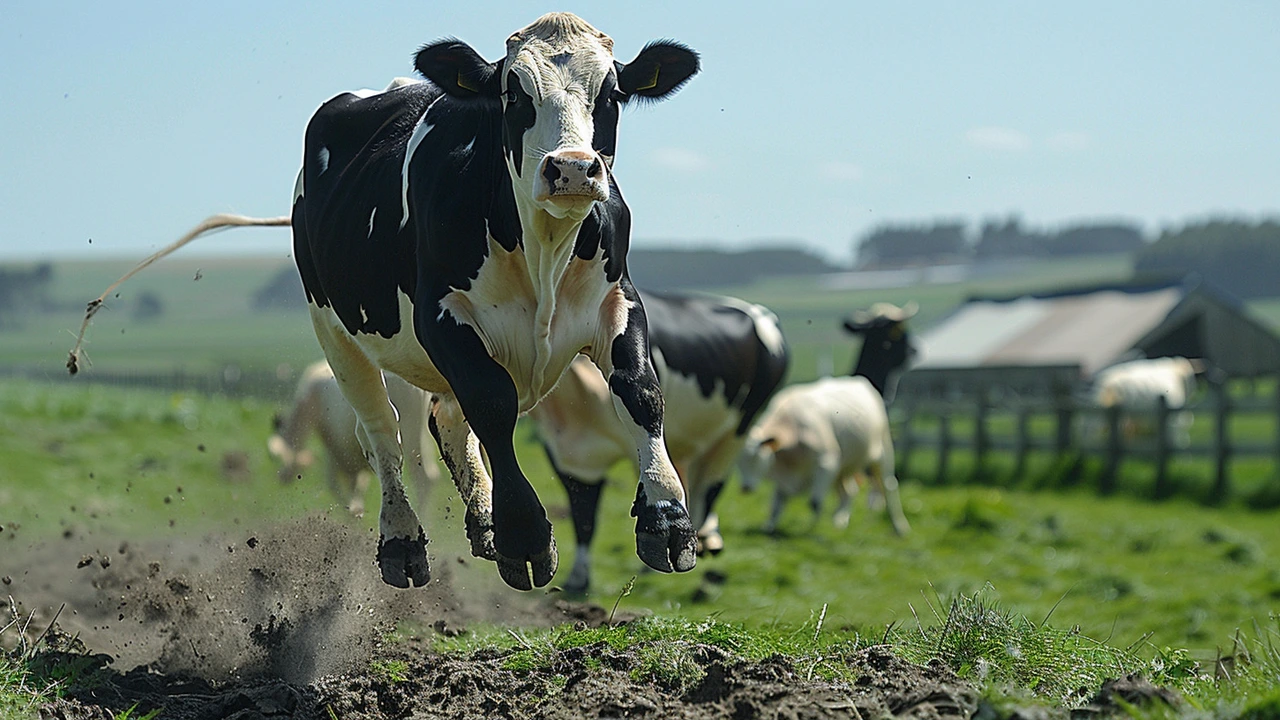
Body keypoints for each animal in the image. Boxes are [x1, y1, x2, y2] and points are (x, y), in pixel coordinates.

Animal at [264, 361, 440, 512]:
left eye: (275, 456)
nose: (282, 477)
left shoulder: (333, 449)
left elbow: (336, 488)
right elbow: (356, 491)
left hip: (410, 437)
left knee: (423, 479)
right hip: (423, 438)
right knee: (431, 476)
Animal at [291, 12, 701, 589]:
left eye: (613, 92)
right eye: (513, 92)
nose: (572, 169)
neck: (543, 247)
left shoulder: (618, 300)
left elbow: (642, 391)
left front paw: (668, 520)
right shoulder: (441, 316)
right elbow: (492, 402)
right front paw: (525, 537)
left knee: (446, 420)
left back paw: (483, 519)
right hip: (333, 329)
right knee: (380, 432)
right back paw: (402, 541)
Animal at [529, 288, 788, 591]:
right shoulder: (564, 454)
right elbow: (583, 516)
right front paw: (578, 578)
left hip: (740, 426)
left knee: (711, 484)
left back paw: (703, 539)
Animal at [737, 301, 916, 532]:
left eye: (754, 456)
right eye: (737, 462)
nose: (745, 488)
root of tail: (863, 383)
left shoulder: (827, 463)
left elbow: (815, 503)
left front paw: (812, 530)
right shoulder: (788, 480)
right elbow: (776, 505)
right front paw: (770, 529)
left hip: (883, 451)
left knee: (889, 485)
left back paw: (899, 526)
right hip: (845, 468)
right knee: (849, 491)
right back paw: (841, 521)